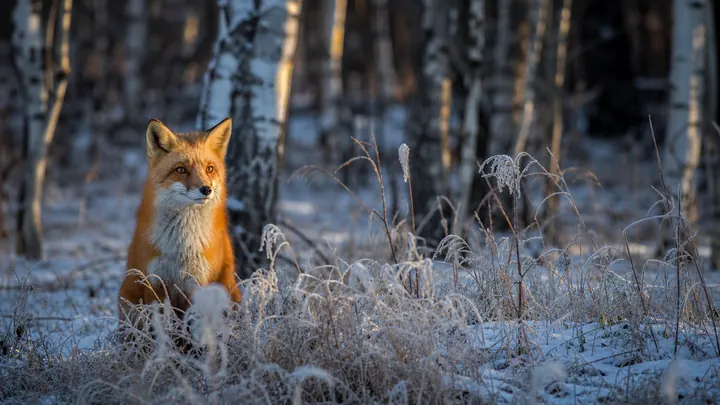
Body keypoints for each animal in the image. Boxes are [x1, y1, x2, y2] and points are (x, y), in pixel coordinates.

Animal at [117, 117, 242, 332]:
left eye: (209, 169)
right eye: (181, 169)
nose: (206, 189)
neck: (182, 246)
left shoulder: (198, 283)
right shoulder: (156, 282)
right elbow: (162, 328)